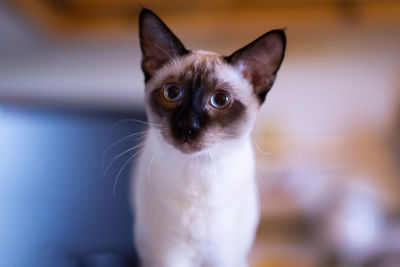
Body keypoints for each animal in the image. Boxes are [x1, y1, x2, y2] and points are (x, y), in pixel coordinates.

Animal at [133, 7, 286, 267]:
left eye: (220, 100)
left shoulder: (225, 257)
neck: (199, 170)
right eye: (172, 93)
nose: (188, 126)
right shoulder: (167, 256)